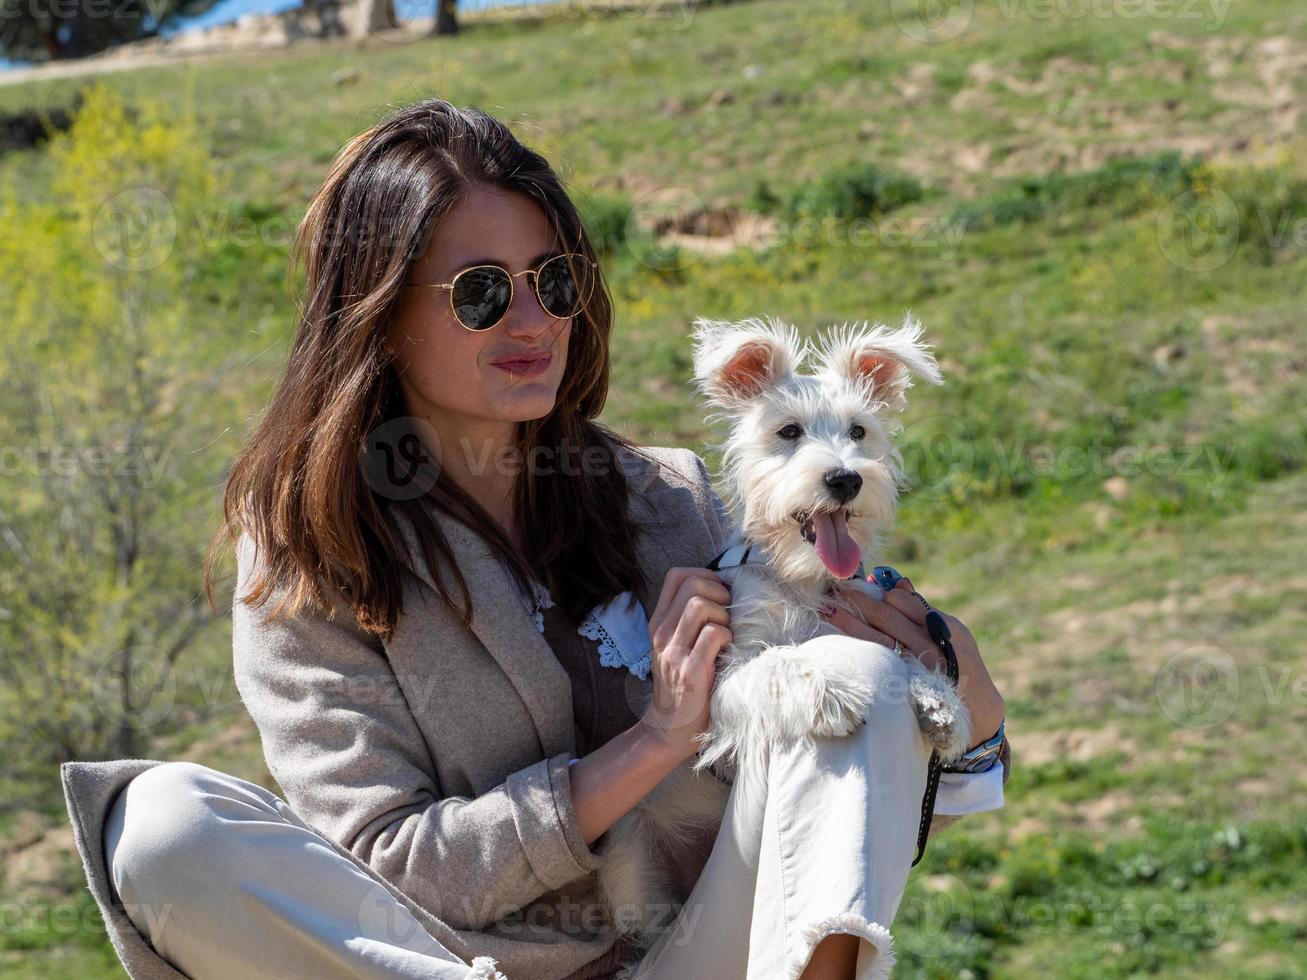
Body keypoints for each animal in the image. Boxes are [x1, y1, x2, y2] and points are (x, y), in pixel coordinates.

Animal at [595, 316, 972, 966]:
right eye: (788, 431)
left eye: (858, 431)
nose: (845, 477)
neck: (803, 579)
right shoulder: (718, 678)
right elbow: (777, 665)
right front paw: (832, 692)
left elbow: (897, 656)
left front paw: (936, 698)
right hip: (632, 869)